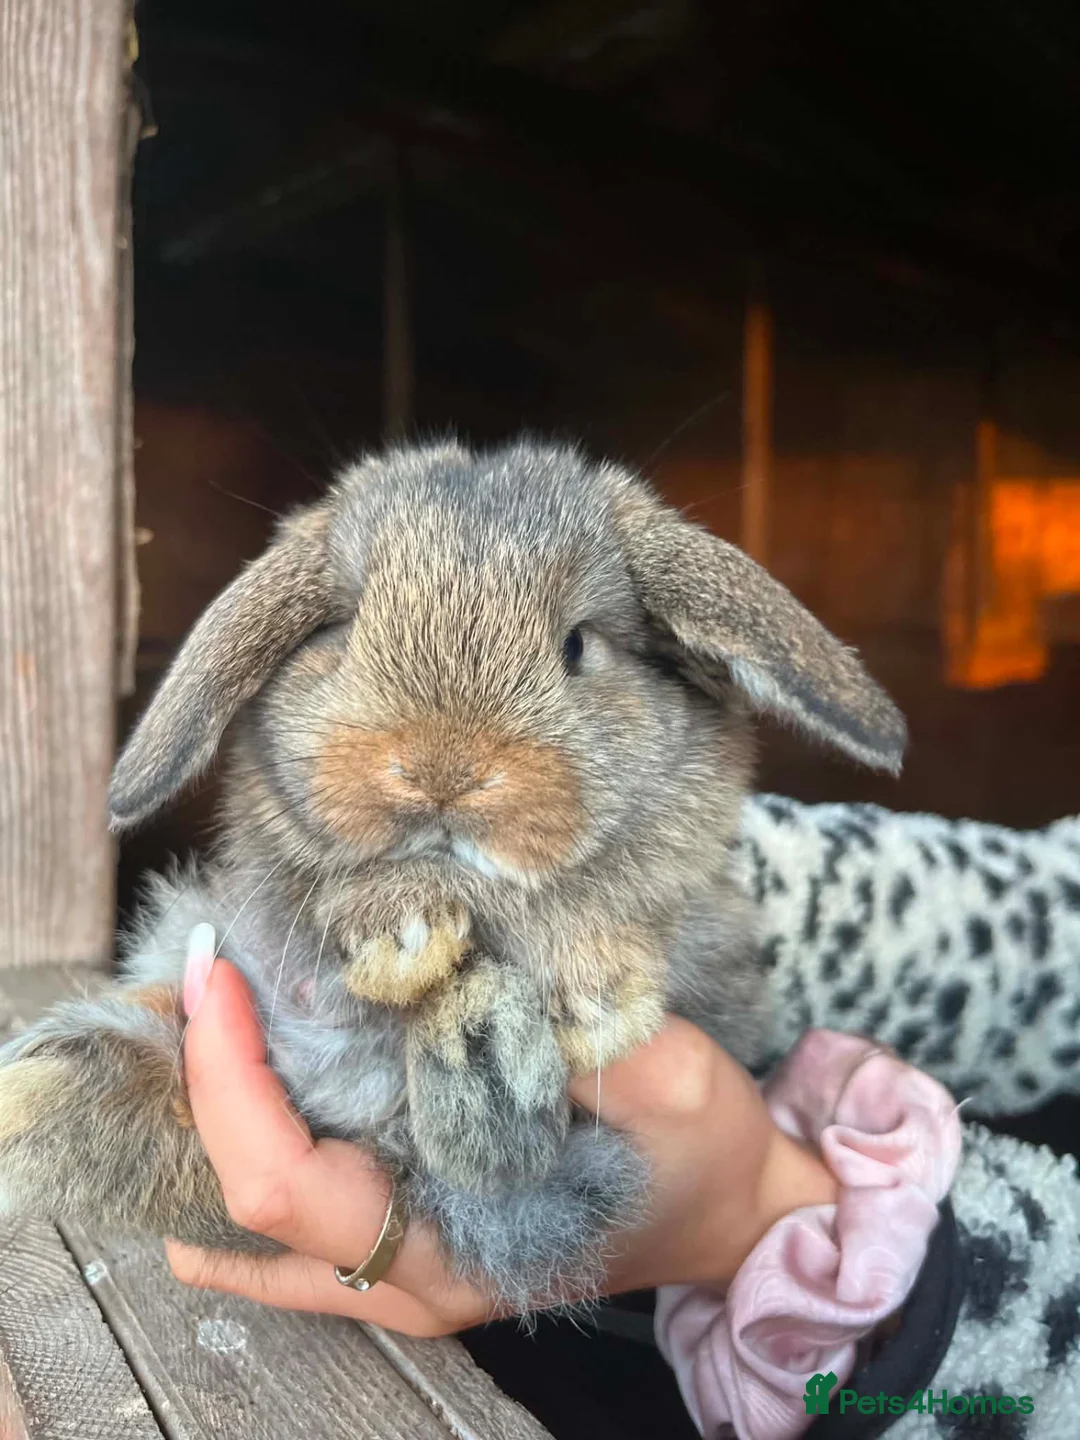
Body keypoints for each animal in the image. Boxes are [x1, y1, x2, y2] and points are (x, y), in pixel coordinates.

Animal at [0, 439, 905, 1312]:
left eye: (577, 644)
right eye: (344, 630)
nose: (442, 771)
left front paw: (586, 994)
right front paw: (402, 938)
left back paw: (482, 1036)